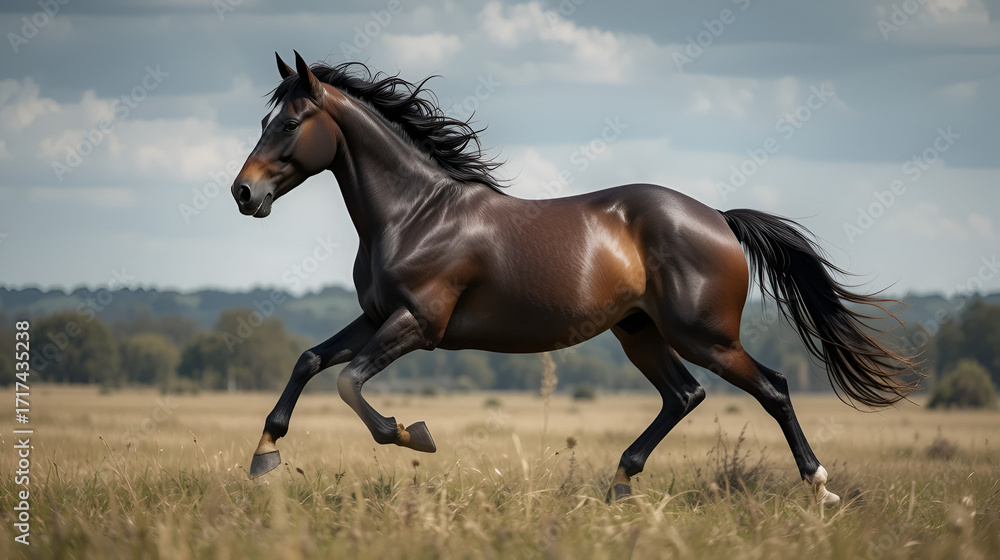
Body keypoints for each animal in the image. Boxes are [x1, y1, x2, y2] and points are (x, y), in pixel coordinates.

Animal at [233, 52, 917, 505]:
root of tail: (718, 218)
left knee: (771, 388)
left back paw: (820, 488)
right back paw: (619, 485)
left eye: (289, 123)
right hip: (639, 332)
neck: (416, 214)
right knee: (684, 395)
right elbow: (310, 361)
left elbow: (348, 382)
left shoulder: (418, 324)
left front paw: (412, 434)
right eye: (264, 121)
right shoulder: (377, 316)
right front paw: (264, 457)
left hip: (705, 336)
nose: (243, 193)